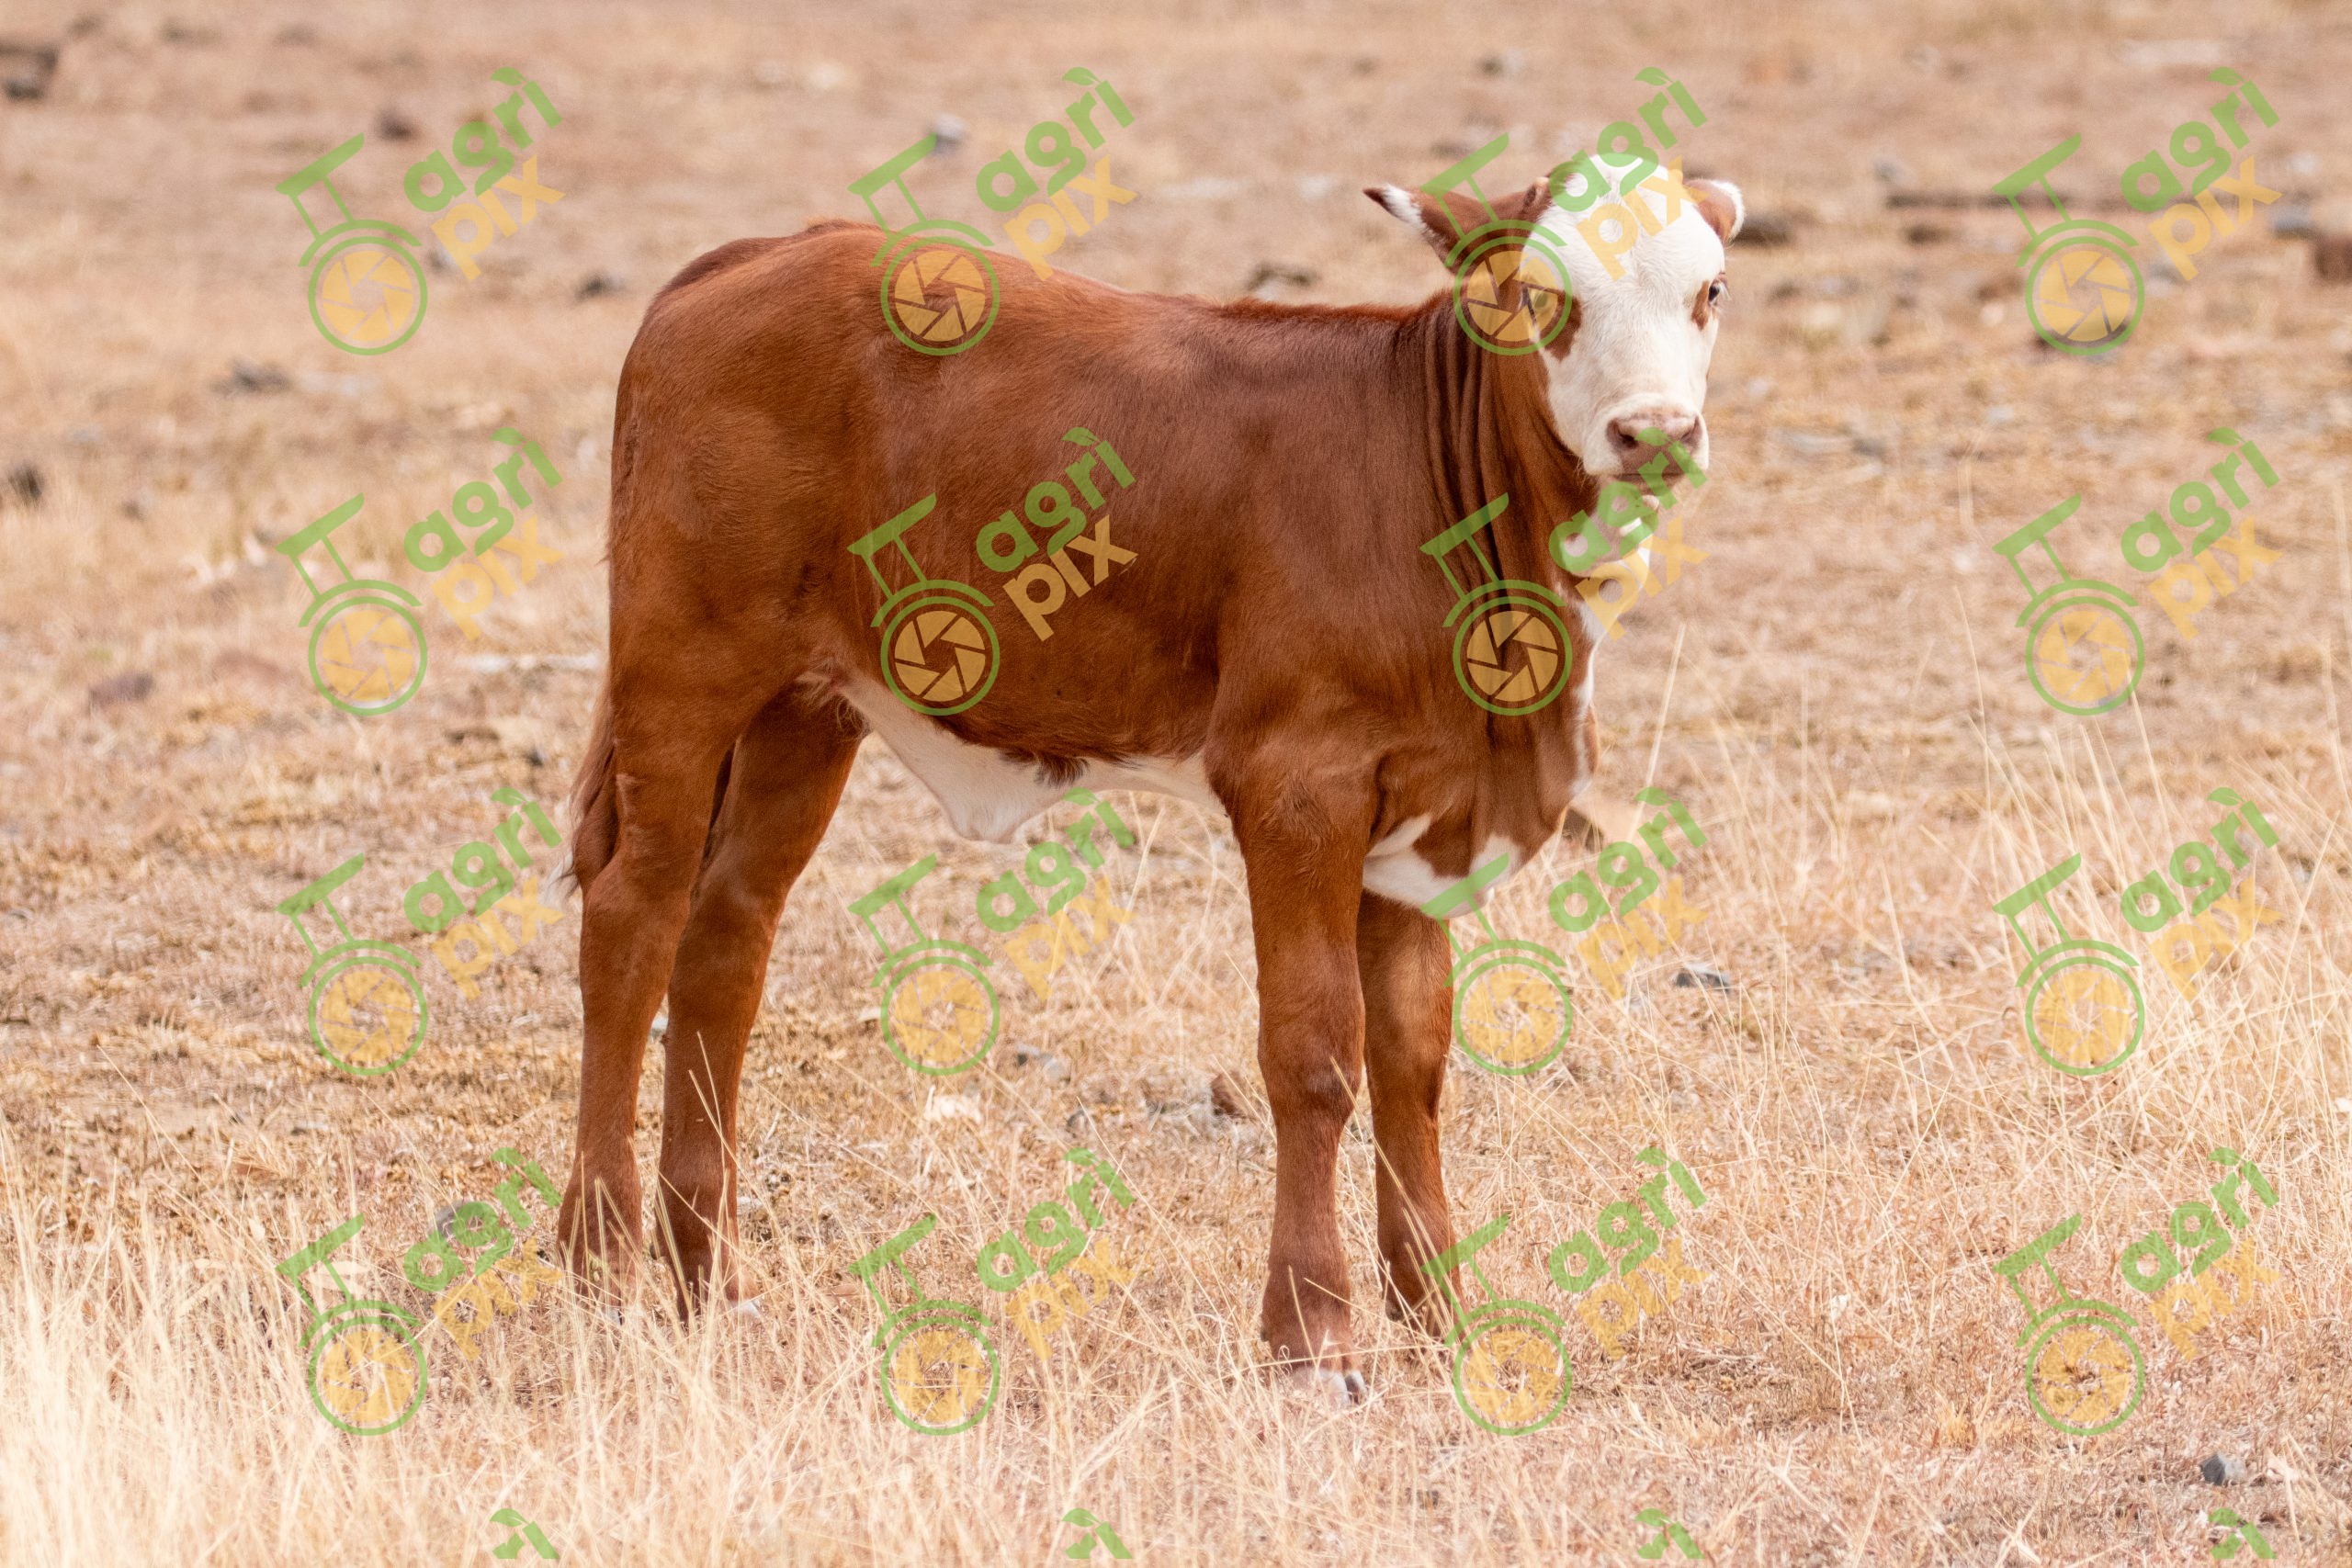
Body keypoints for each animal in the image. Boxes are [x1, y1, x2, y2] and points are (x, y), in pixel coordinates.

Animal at [555, 148, 1743, 1405]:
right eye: (1541, 298)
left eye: (1709, 290)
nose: (1656, 433)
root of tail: (751, 257)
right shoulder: (1297, 781)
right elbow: (1314, 1051)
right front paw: (1311, 1334)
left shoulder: (1421, 806)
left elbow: (1413, 1057)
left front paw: (1441, 1320)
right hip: (681, 665)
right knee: (631, 920)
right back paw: (601, 1267)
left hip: (803, 706)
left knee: (725, 940)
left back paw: (710, 1279)